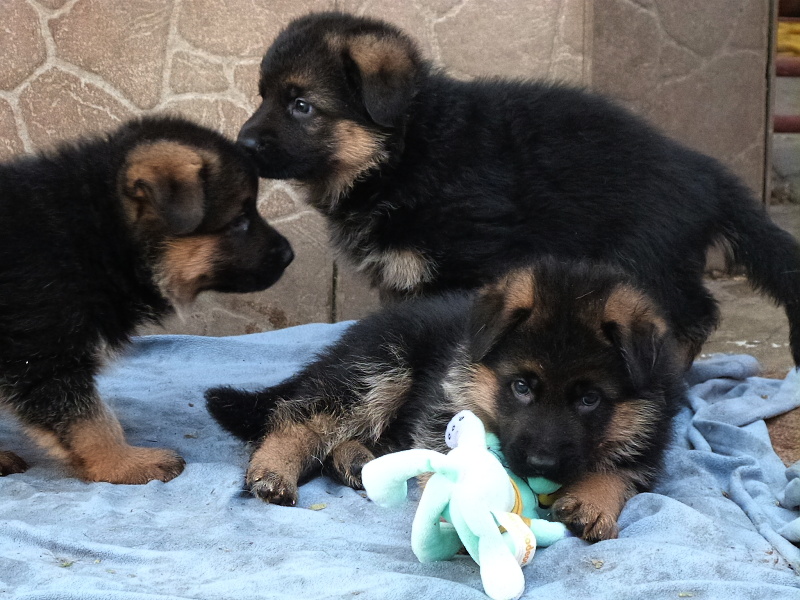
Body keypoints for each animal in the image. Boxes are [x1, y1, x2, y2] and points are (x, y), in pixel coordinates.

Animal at [0, 115, 294, 484]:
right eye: (240, 220)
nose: (289, 255)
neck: (100, 231)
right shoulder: (43, 355)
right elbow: (90, 422)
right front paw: (124, 463)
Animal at [206, 258, 686, 541]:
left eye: (590, 399)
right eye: (521, 387)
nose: (540, 466)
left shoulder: (648, 434)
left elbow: (620, 469)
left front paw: (594, 500)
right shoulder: (443, 412)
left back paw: (358, 462)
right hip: (382, 367)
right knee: (301, 415)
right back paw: (276, 469)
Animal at [236, 11, 800, 368]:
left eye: (302, 105)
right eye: (263, 96)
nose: (241, 144)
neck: (408, 149)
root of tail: (705, 172)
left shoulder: (468, 268)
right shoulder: (403, 278)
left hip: (646, 258)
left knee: (693, 317)